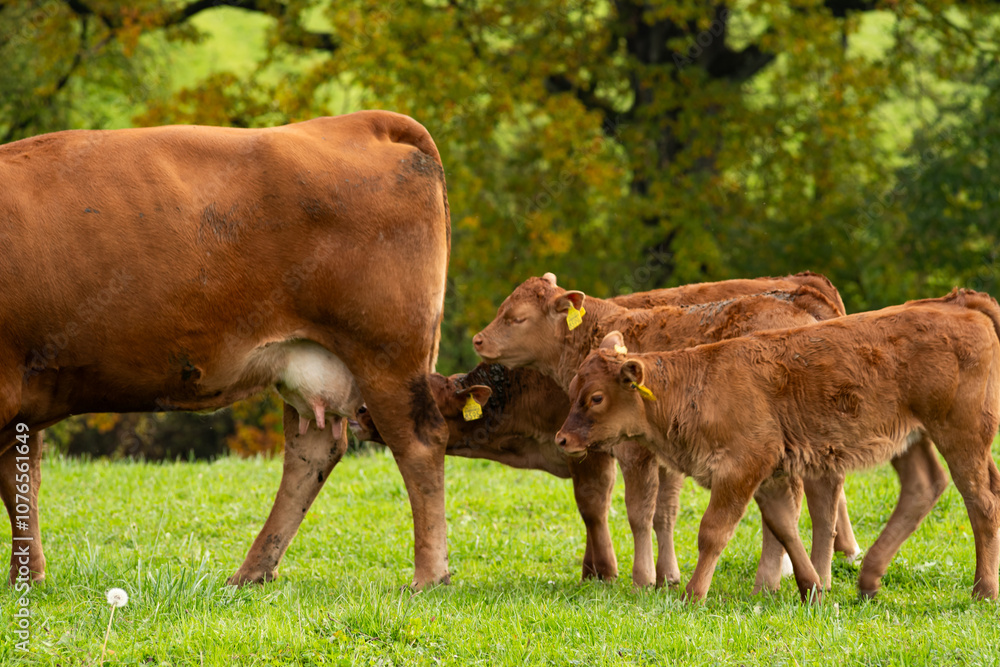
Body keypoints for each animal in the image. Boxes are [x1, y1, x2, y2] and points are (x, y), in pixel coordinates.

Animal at [0, 111, 452, 589]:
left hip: (387, 355)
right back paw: (254, 571)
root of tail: (364, 121)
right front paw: (26, 577)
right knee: (311, 454)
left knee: (420, 443)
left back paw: (429, 575)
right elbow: (20, 481)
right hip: (310, 362)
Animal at [471, 273, 860, 590]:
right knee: (822, 504)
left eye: (516, 317)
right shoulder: (666, 454)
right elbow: (664, 512)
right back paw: (820, 575)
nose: (478, 340)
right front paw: (666, 576)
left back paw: (774, 578)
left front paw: (642, 578)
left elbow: (639, 511)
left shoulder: (635, 451)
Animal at [556, 289, 1000, 602]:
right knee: (924, 486)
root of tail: (958, 304)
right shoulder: (768, 475)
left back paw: (983, 590)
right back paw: (869, 579)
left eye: (596, 397)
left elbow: (713, 531)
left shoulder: (741, 468)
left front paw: (693, 595)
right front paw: (811, 589)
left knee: (982, 502)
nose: (562, 438)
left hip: (961, 435)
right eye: (573, 389)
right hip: (911, 438)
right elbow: (784, 526)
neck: (699, 384)